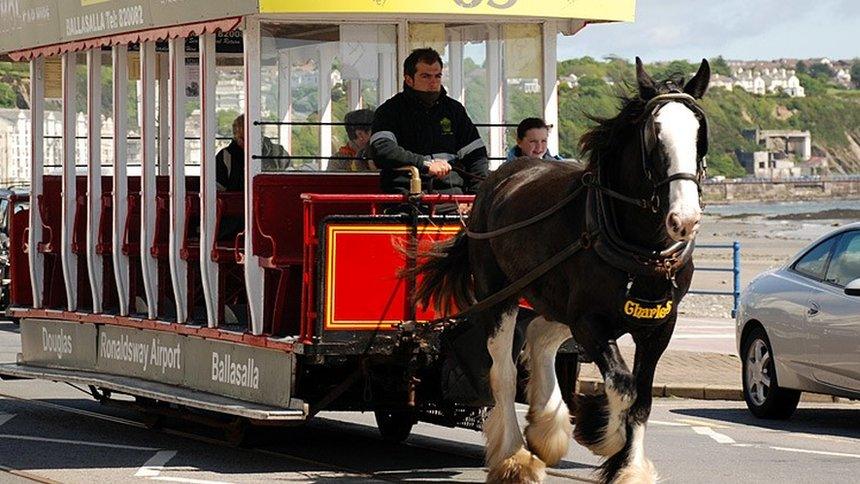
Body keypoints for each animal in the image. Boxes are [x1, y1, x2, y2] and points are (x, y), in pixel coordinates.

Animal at [414, 58, 708, 482]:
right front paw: (610, 440)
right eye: (655, 134)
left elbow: (642, 398)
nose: (684, 220)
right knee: (503, 372)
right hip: (499, 296)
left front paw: (627, 464)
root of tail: (495, 181)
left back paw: (546, 428)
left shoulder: (658, 326)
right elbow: (623, 385)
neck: (640, 246)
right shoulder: (590, 322)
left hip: (553, 299)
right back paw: (514, 454)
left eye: (700, 132)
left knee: (538, 335)